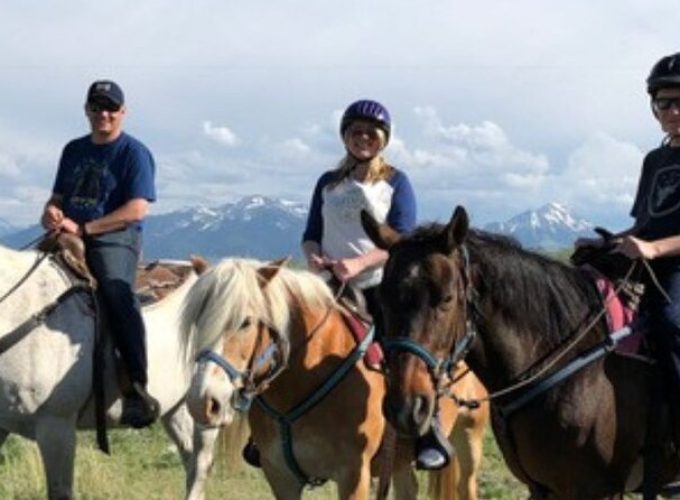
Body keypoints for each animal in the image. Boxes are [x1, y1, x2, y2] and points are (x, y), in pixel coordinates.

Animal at [181, 258, 488, 500]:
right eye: (198, 320)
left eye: (245, 322)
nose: (202, 402)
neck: (305, 377)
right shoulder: (281, 477)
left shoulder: (353, 476)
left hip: (470, 435)